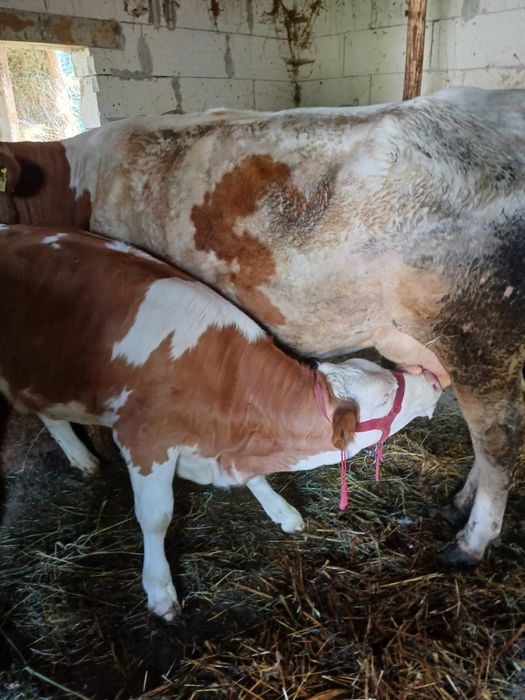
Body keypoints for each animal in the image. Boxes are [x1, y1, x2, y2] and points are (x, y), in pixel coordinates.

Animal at [0, 224, 441, 619]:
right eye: (384, 397)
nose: (434, 380)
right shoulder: (145, 438)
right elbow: (156, 516)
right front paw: (160, 590)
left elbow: (258, 480)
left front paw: (283, 512)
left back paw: (83, 459)